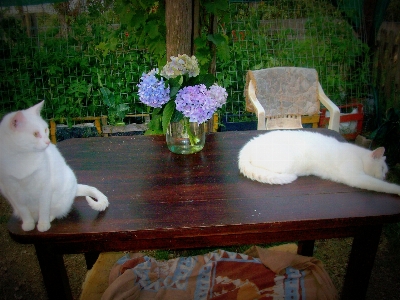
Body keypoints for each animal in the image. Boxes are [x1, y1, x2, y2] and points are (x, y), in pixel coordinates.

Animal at [0, 101, 109, 232]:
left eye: (45, 129)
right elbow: (24, 211)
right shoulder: (11, 191)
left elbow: (44, 208)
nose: (48, 142)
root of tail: (75, 187)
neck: (22, 159)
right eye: (35, 134)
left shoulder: (45, 187)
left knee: (55, 211)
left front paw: (43, 225)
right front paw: (28, 225)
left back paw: (49, 218)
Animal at [239, 129, 400, 197]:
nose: (384, 176)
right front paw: (396, 189)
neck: (358, 155)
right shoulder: (357, 177)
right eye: (382, 168)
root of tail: (247, 145)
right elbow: (382, 186)